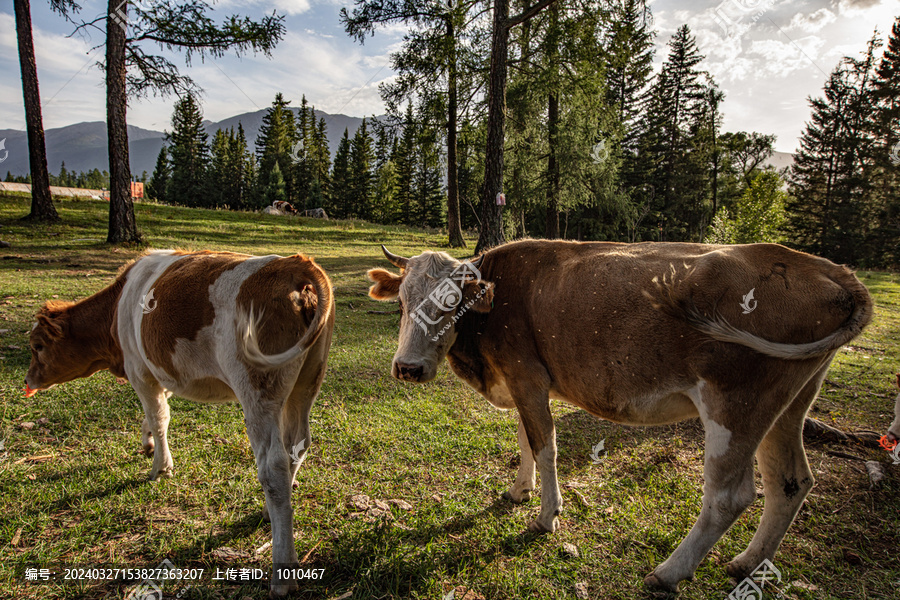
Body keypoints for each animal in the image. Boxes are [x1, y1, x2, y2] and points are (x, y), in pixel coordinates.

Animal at [25, 248, 334, 596]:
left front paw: (161, 465)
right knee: (298, 443)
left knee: (273, 465)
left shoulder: (140, 369)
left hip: (257, 389)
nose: (28, 380)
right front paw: (146, 441)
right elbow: (157, 411)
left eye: (38, 346)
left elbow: (159, 416)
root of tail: (295, 264)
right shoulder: (163, 370)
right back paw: (270, 510)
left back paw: (282, 574)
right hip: (307, 381)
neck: (119, 304)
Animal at [366, 239, 872, 592]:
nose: (407, 368)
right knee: (790, 481)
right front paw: (519, 490)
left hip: (737, 405)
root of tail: (823, 266)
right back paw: (747, 563)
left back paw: (668, 573)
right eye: (402, 303)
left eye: (452, 304)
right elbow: (526, 440)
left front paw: (547, 515)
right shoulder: (519, 380)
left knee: (730, 496)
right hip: (789, 404)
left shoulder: (528, 376)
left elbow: (545, 445)